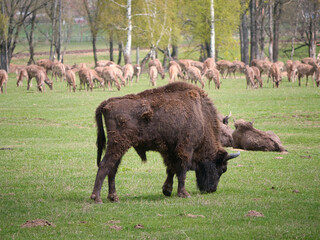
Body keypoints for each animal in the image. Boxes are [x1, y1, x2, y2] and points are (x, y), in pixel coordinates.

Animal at [90, 81, 240, 203]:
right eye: (222, 169)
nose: (211, 189)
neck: (201, 116)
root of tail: (108, 102)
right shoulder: (186, 149)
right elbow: (182, 170)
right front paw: (183, 193)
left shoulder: (170, 150)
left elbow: (171, 169)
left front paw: (167, 191)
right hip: (118, 145)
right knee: (104, 165)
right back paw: (97, 198)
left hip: (119, 147)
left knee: (112, 168)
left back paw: (114, 197)